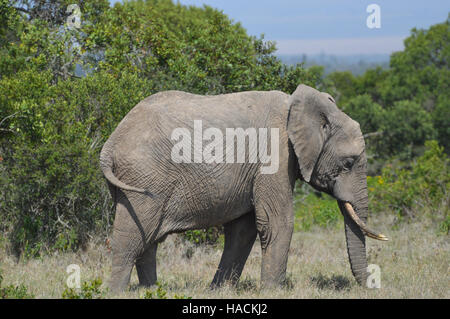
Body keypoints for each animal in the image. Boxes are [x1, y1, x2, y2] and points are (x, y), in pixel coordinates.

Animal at [99, 83, 386, 292]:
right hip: (143, 178)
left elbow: (242, 231)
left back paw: (151, 290)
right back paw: (118, 292)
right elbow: (277, 221)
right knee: (132, 237)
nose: (372, 284)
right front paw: (272, 292)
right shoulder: (275, 156)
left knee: (148, 239)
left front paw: (219, 291)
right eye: (349, 163)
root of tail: (110, 143)